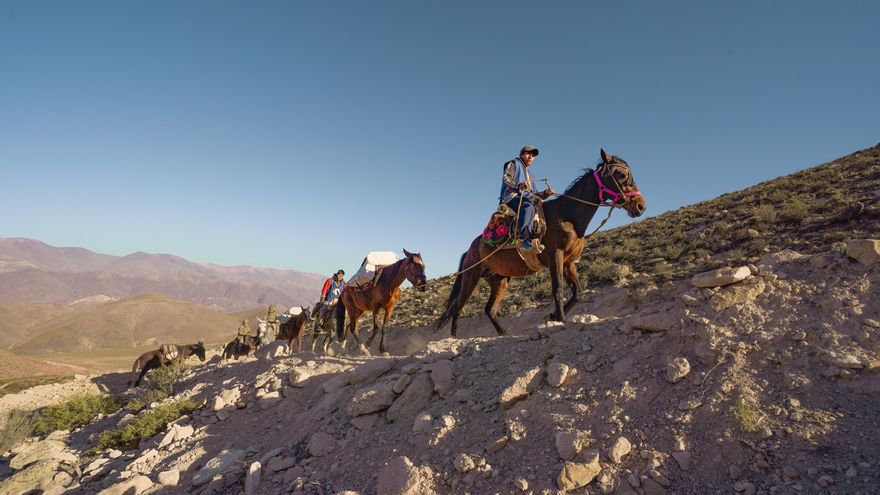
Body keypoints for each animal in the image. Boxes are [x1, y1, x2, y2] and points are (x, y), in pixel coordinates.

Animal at [434, 150, 648, 338]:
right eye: (621, 175)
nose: (640, 206)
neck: (567, 216)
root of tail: (470, 248)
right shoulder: (555, 256)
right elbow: (558, 289)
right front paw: (560, 319)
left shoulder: (568, 262)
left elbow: (577, 292)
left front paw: (552, 315)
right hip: (471, 277)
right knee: (458, 307)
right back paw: (453, 338)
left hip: (499, 280)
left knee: (489, 310)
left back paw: (503, 332)